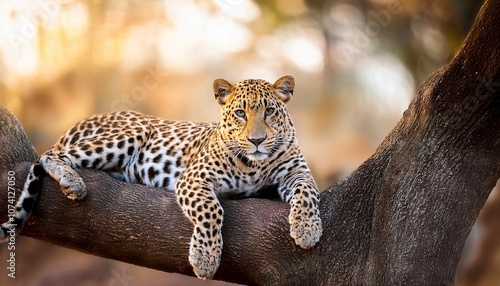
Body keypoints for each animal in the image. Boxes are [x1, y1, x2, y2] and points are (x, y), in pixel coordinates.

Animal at [0, 75, 322, 280]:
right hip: (133, 130)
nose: (257, 141)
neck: (255, 165)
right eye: (241, 113)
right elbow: (212, 210)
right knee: (49, 154)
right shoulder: (194, 177)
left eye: (269, 112)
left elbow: (308, 192)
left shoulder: (296, 173)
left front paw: (307, 229)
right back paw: (73, 182)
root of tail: (82, 121)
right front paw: (205, 258)